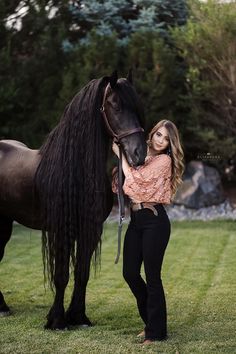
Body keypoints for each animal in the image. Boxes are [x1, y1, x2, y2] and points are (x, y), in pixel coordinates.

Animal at [0, 71, 147, 330]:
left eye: (136, 106)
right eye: (115, 105)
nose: (140, 153)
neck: (74, 169)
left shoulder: (91, 229)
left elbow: (82, 273)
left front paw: (79, 317)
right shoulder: (63, 230)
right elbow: (61, 275)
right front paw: (57, 320)